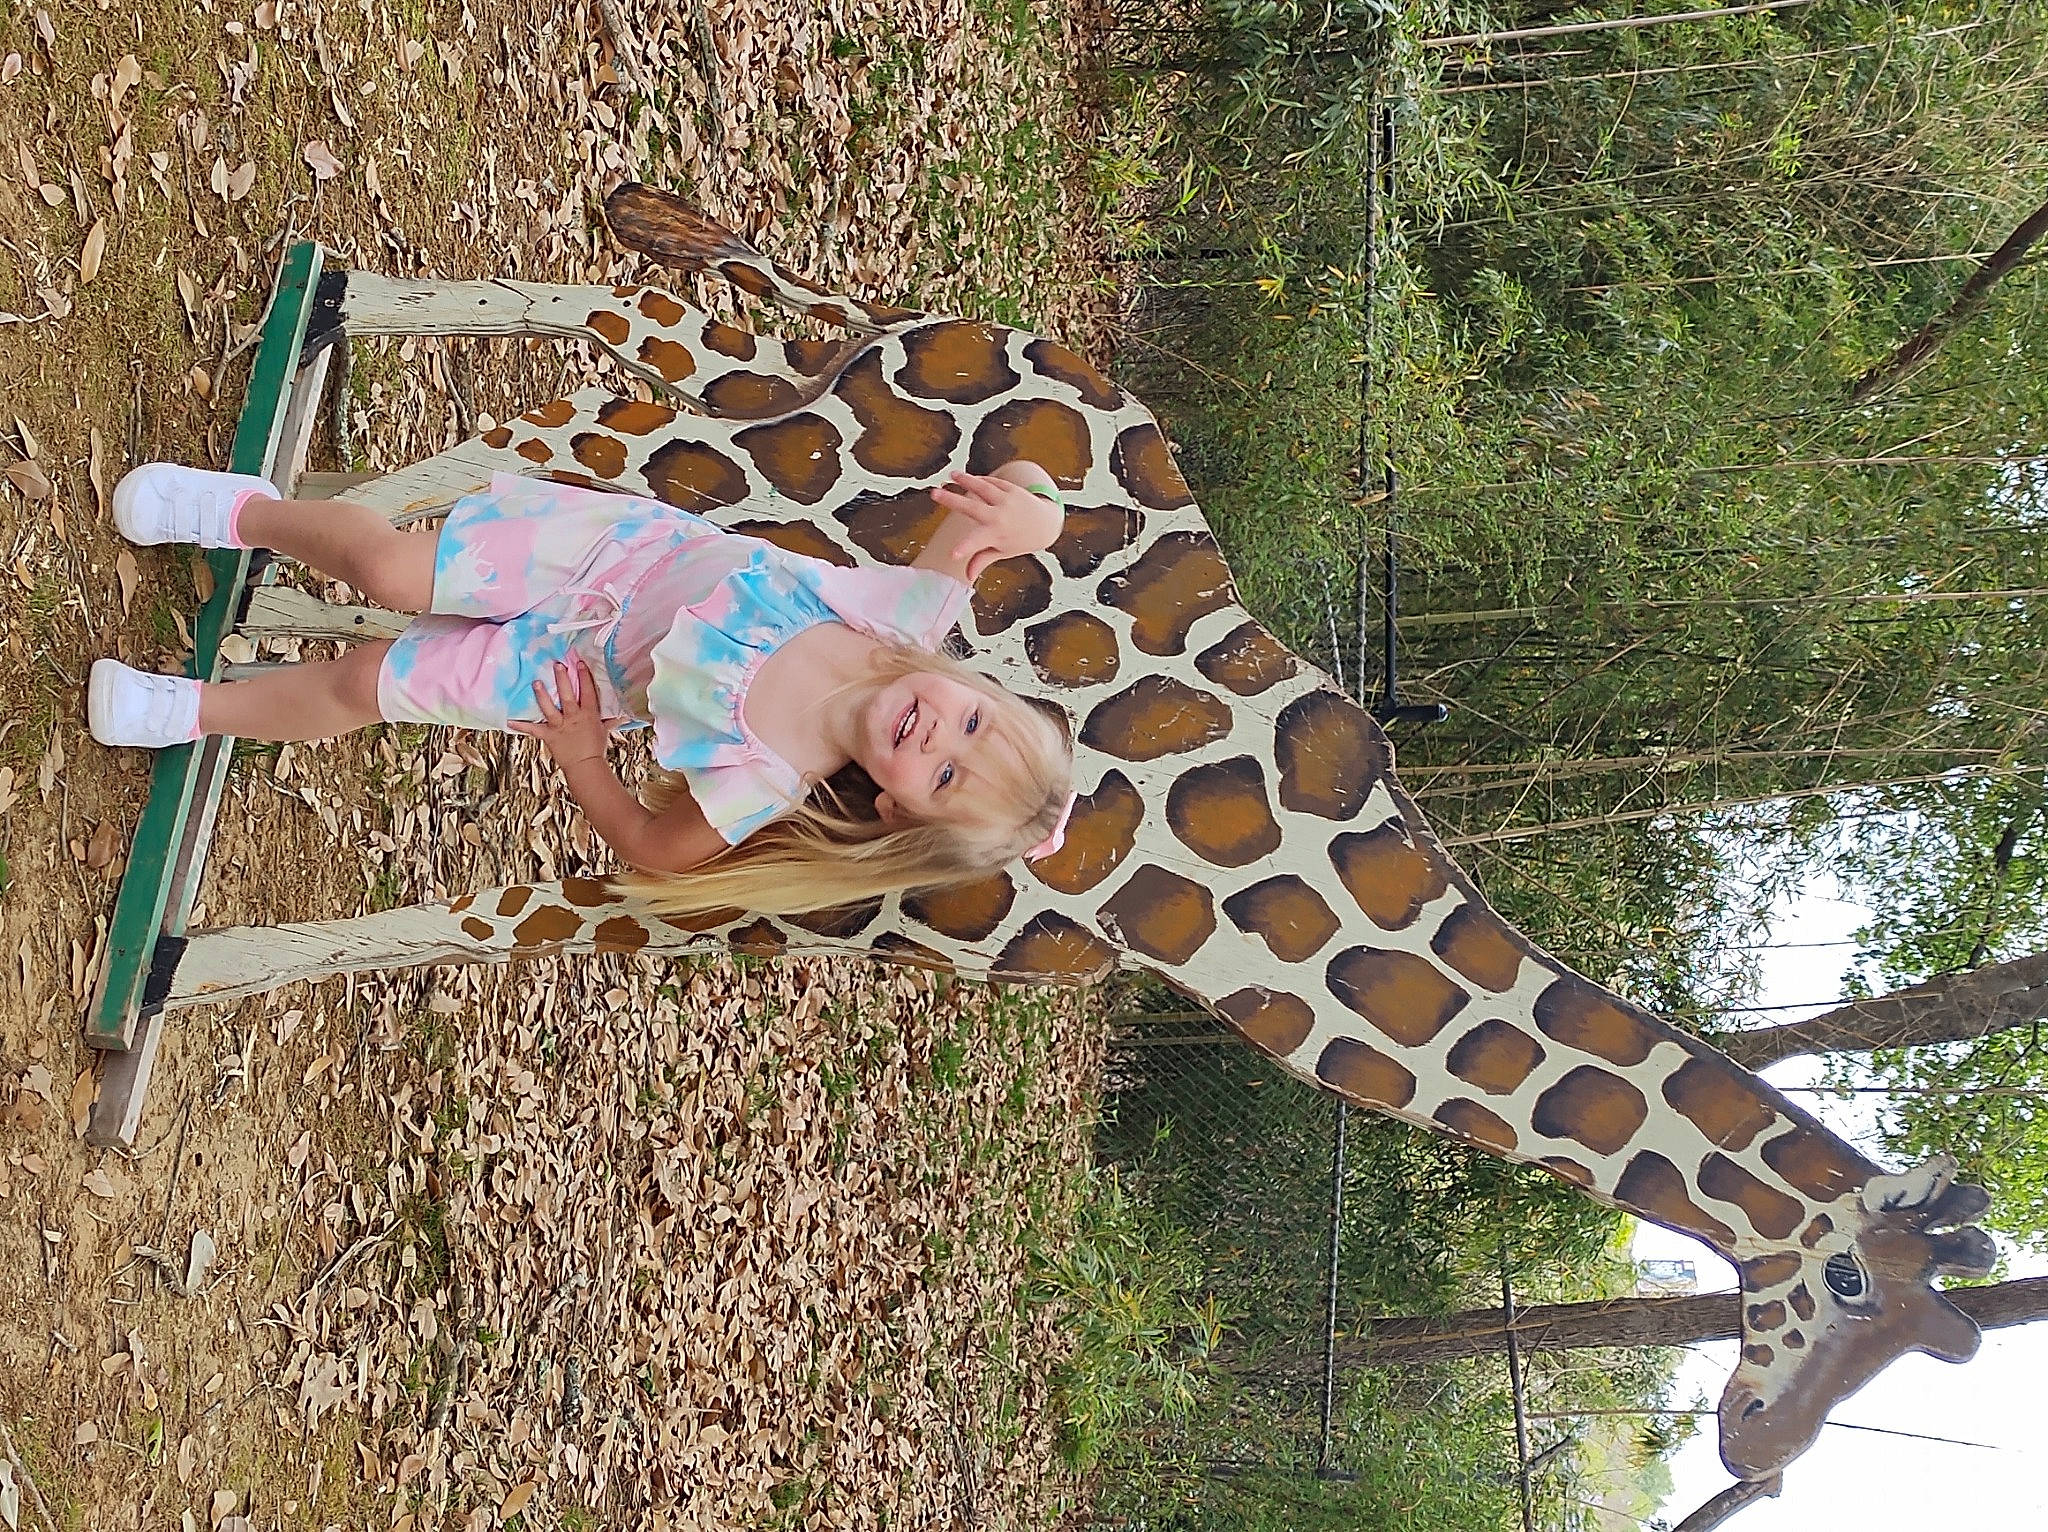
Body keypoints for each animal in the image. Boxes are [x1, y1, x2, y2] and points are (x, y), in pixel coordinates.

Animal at [143, 185, 1995, 1482]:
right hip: (759, 438)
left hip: (745, 418)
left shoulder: (832, 897)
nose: (1755, 1448)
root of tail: (962, 330)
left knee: (631, 339)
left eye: (1912, 1349)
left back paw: (281, 499)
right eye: (1854, 1295)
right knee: (607, 339)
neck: (1172, 900)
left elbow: (523, 855)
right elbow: (488, 882)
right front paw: (157, 976)